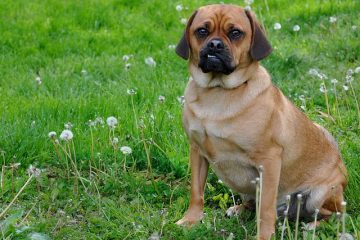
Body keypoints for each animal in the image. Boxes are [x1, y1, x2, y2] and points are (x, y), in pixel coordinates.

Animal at [176, 4, 348, 240]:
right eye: (202, 31)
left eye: (235, 33)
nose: (215, 44)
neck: (218, 92)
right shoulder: (197, 152)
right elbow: (196, 192)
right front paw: (191, 219)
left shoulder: (269, 161)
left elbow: (266, 209)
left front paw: (264, 235)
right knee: (252, 203)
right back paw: (239, 209)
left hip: (318, 195)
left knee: (335, 214)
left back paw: (313, 226)